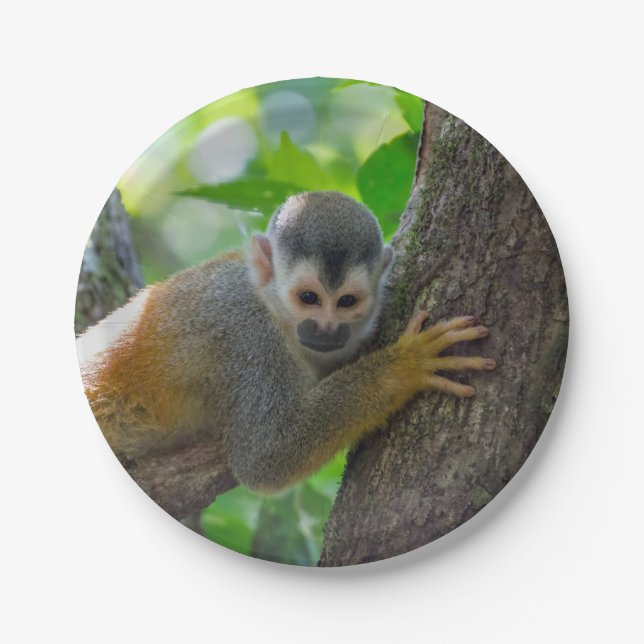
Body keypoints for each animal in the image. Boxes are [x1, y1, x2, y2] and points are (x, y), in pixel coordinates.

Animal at [79, 191, 496, 492]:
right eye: (308, 298)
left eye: (346, 302)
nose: (325, 329)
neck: (272, 307)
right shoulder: (249, 337)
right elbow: (266, 457)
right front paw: (408, 364)